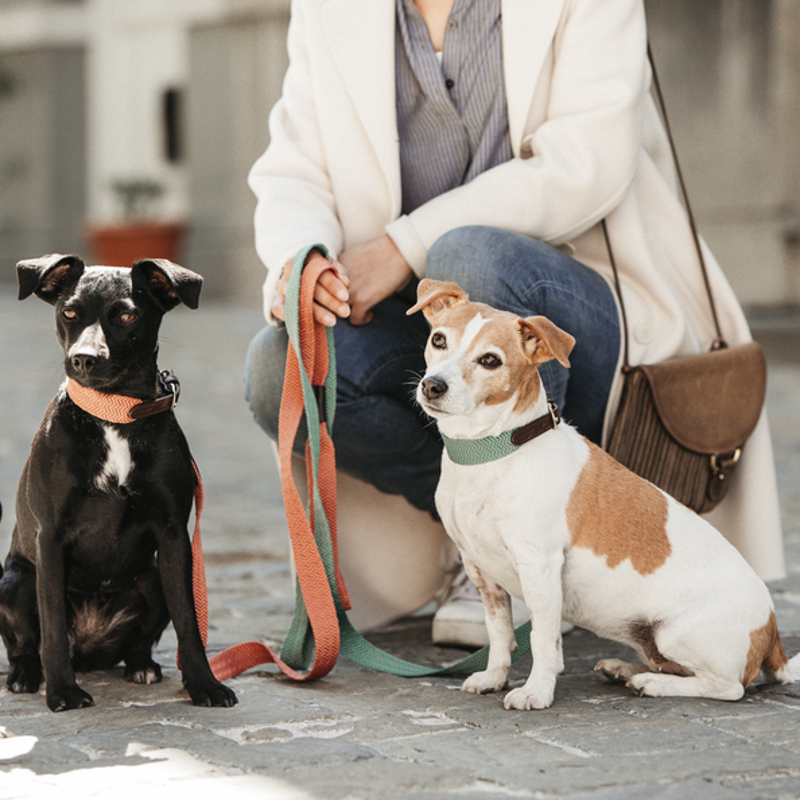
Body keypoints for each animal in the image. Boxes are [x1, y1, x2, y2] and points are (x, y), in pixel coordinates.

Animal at [0, 253, 238, 708]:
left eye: (127, 315)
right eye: (69, 312)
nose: (83, 358)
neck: (113, 413)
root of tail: (89, 650)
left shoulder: (174, 536)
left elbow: (189, 621)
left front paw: (204, 684)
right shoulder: (50, 537)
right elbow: (51, 625)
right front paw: (62, 692)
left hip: (153, 576)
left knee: (140, 643)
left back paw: (142, 666)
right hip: (16, 581)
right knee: (26, 644)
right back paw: (27, 674)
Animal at [410, 282, 796, 712]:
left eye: (490, 360)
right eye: (438, 340)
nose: (433, 386)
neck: (491, 451)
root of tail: (773, 633)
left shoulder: (539, 567)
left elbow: (542, 640)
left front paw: (536, 691)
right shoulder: (480, 570)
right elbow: (499, 634)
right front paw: (494, 677)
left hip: (676, 631)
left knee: (728, 687)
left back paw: (652, 684)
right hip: (653, 638)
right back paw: (625, 670)